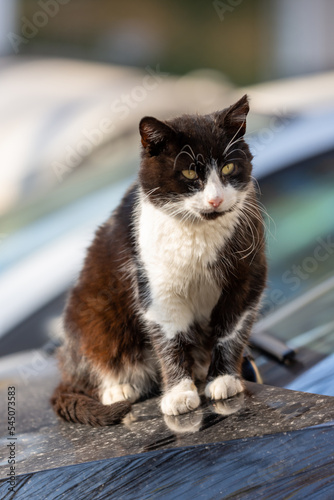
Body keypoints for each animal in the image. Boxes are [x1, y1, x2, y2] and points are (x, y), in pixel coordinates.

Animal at [51, 94, 266, 426]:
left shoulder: (246, 279)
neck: (197, 234)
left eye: (229, 166)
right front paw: (179, 394)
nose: (215, 199)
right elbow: (169, 341)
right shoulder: (157, 290)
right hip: (91, 311)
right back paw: (117, 388)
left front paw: (223, 379)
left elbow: (231, 330)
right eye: (190, 173)